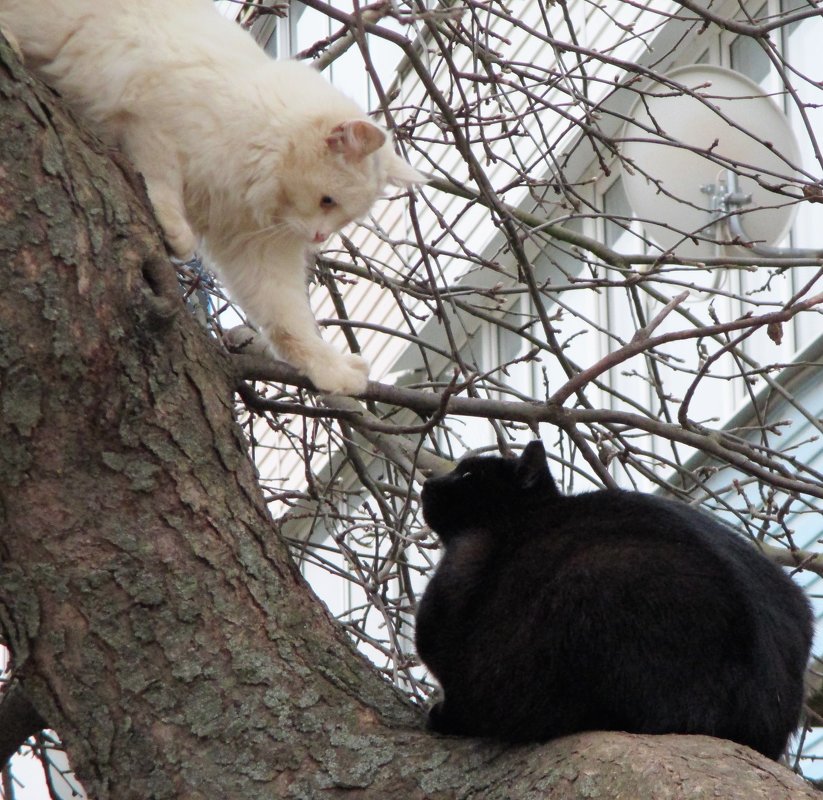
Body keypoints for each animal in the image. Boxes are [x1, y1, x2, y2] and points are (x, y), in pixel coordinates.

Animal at [0, 0, 422, 394]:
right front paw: (176, 231)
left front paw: (329, 369)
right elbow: (161, 176)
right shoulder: (150, 118)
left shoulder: (257, 251)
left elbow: (290, 321)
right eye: (328, 201)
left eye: (343, 215)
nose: (319, 237)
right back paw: (12, 44)